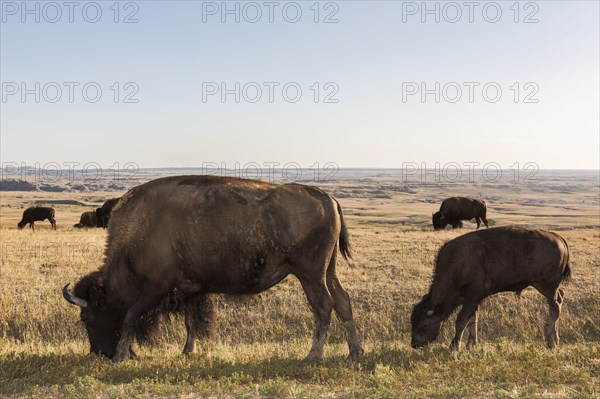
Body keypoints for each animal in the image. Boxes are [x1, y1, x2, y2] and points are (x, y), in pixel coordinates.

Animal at [62, 177, 360, 364]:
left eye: (86, 317)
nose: (98, 352)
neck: (139, 231)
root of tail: (328, 197)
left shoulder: (154, 289)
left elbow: (130, 318)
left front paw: (121, 356)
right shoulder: (190, 290)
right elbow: (191, 322)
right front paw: (187, 351)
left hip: (310, 275)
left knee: (323, 306)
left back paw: (314, 355)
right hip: (328, 271)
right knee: (343, 301)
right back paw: (354, 353)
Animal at [412, 227, 572, 352]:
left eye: (424, 324)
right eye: (412, 320)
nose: (414, 343)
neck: (459, 263)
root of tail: (558, 237)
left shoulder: (473, 297)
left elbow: (461, 320)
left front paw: (454, 347)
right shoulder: (472, 300)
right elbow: (473, 320)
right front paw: (471, 344)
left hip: (548, 285)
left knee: (555, 307)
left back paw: (552, 341)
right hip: (540, 284)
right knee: (559, 299)